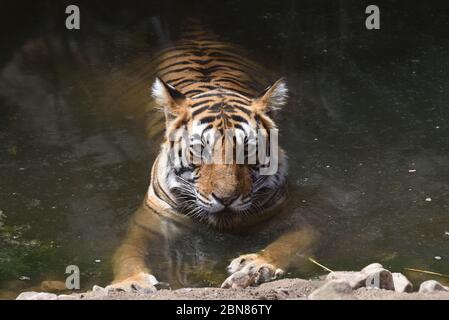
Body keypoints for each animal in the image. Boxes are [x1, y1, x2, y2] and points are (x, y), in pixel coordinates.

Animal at [107, 18, 316, 292]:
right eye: (201, 150)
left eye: (247, 150)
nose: (226, 199)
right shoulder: (147, 221)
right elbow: (126, 252)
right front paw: (129, 283)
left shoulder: (296, 216)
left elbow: (290, 244)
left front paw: (255, 266)